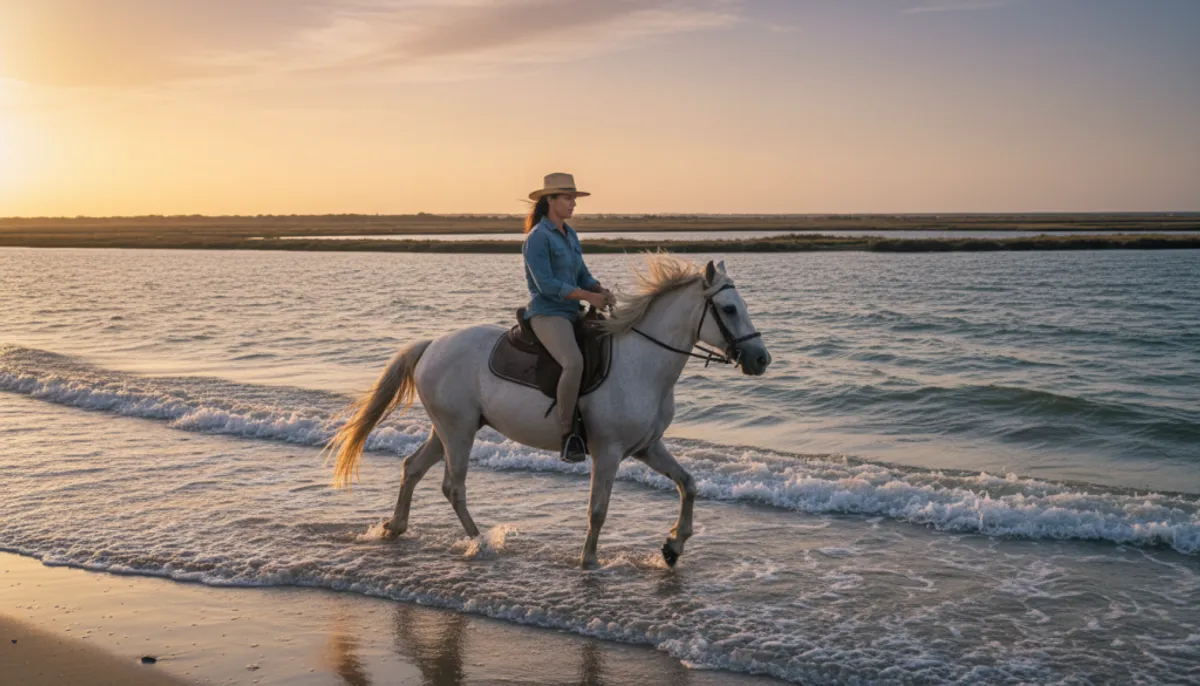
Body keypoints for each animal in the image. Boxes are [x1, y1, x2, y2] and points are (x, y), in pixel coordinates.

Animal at [325, 255, 771, 568]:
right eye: (729, 309)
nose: (761, 358)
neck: (644, 364)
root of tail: (432, 345)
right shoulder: (608, 452)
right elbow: (598, 509)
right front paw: (589, 561)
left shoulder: (648, 447)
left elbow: (689, 484)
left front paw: (673, 546)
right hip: (458, 431)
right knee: (453, 486)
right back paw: (481, 542)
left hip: (448, 429)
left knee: (413, 468)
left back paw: (396, 527)